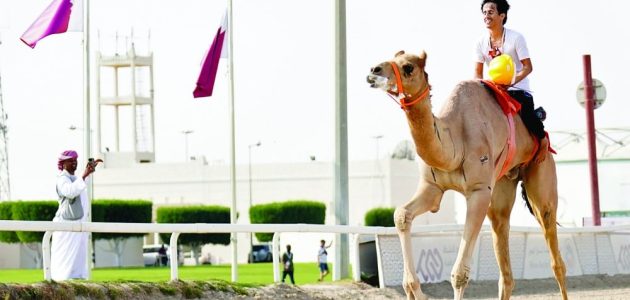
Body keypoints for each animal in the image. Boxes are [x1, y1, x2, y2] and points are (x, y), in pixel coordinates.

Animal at [368, 50, 572, 298]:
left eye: (408, 67)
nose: (374, 71)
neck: (455, 142)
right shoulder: (432, 187)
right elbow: (401, 215)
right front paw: (413, 289)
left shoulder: (479, 191)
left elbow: (459, 274)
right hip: (503, 184)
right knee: (504, 260)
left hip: (541, 174)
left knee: (555, 254)